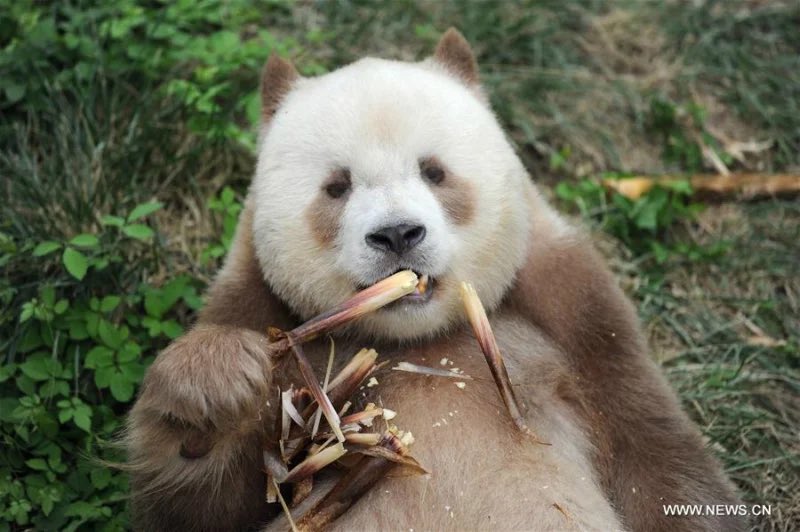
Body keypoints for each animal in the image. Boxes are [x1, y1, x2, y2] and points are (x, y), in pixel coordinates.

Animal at [125, 29, 744, 531]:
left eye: (434, 171)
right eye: (337, 186)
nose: (398, 234)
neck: (421, 339)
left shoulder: (577, 317)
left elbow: (657, 458)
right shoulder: (258, 307)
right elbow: (207, 509)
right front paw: (215, 386)